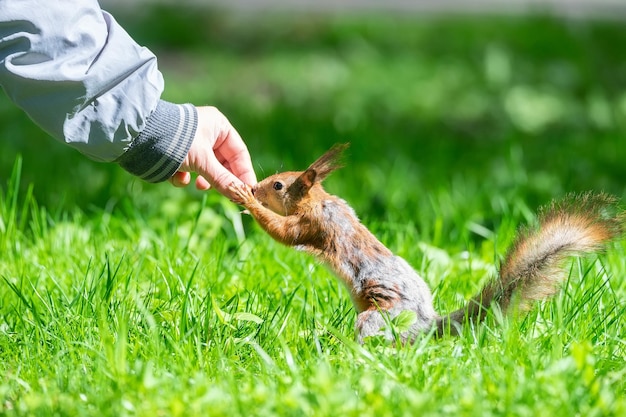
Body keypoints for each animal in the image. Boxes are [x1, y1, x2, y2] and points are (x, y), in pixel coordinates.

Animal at [228, 143, 620, 342]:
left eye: (278, 185)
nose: (258, 187)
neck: (319, 201)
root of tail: (429, 323)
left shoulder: (314, 225)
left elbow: (284, 233)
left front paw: (246, 200)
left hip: (378, 317)